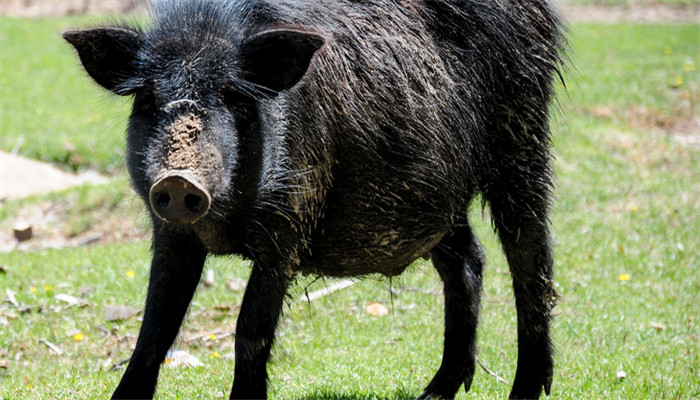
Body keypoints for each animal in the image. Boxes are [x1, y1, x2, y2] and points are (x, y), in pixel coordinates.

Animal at [65, 1, 568, 398]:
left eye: (232, 94)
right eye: (149, 97)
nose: (177, 179)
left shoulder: (291, 220)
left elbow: (251, 328)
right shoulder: (171, 234)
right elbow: (155, 326)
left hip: (523, 138)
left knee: (531, 257)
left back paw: (525, 390)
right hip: (434, 200)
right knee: (469, 259)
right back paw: (434, 393)